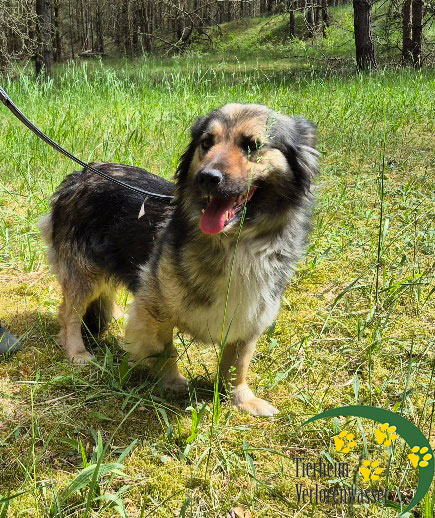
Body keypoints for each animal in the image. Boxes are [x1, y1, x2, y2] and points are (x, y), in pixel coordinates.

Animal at [39, 103, 318, 417]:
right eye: (206, 143)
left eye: (252, 145)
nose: (207, 177)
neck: (235, 242)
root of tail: (78, 175)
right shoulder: (154, 308)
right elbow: (165, 350)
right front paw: (172, 382)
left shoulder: (250, 317)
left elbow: (238, 364)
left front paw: (242, 399)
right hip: (84, 272)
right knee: (70, 313)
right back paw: (77, 352)